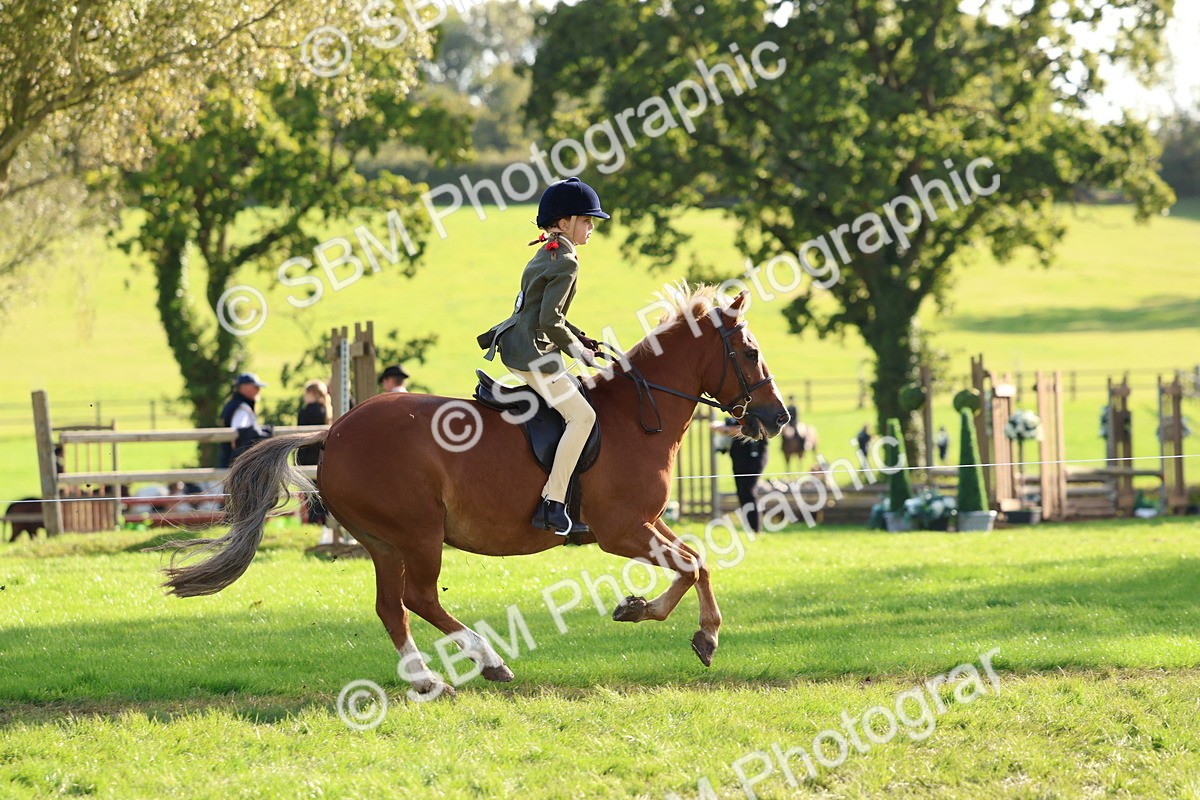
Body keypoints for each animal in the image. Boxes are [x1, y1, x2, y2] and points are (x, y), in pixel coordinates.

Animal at [155, 288, 789, 698]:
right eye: (750, 352)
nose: (777, 417)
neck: (637, 415)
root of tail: (334, 431)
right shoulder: (621, 531)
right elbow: (693, 564)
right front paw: (702, 635)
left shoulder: (645, 523)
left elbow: (695, 560)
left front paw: (641, 610)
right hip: (419, 533)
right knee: (419, 599)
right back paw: (490, 662)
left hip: (383, 541)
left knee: (391, 606)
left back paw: (425, 679)